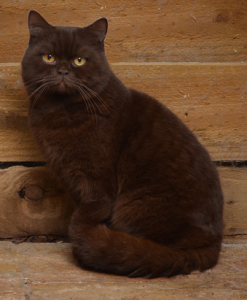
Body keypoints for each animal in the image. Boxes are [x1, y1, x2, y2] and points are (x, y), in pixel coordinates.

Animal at [21, 9, 224, 278]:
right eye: (49, 57)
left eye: (79, 60)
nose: (63, 71)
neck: (60, 110)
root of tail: (211, 246)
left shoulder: (96, 178)